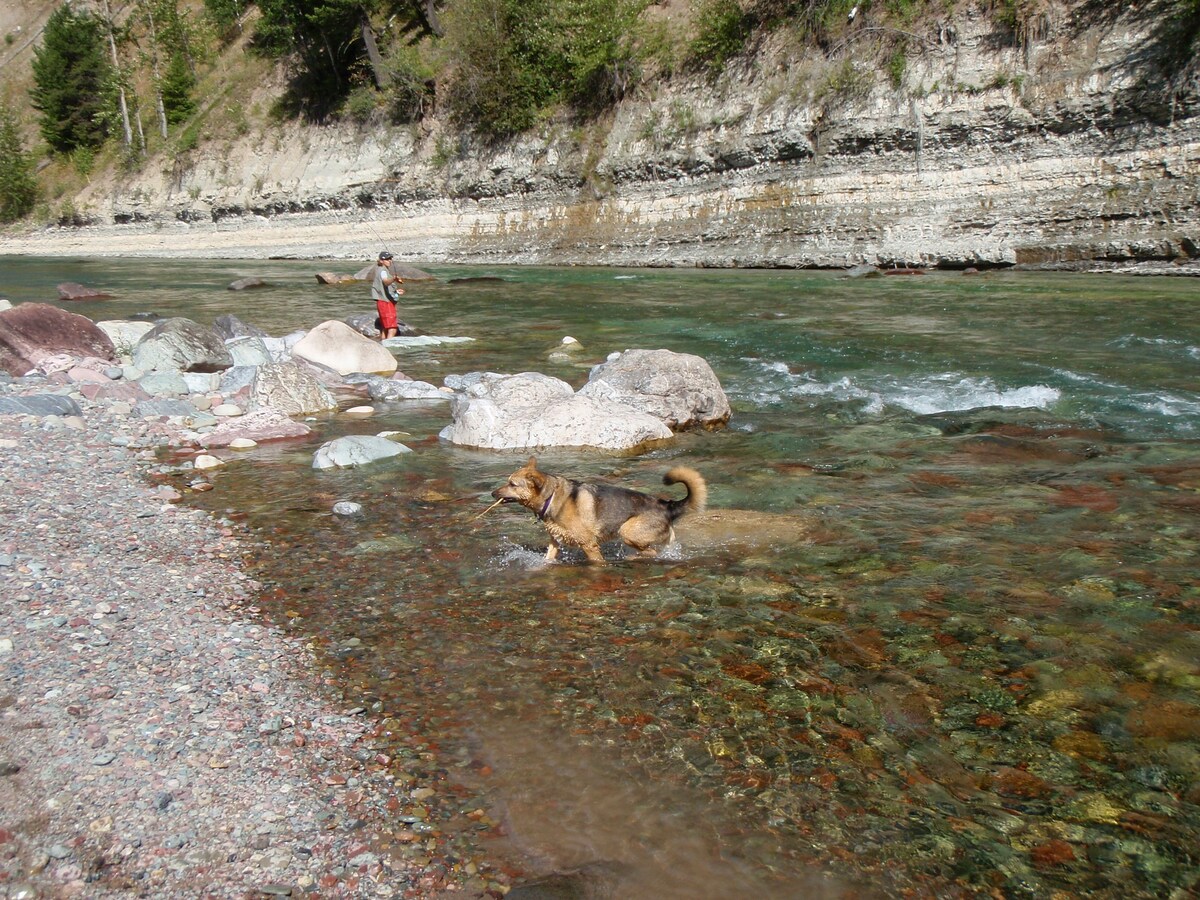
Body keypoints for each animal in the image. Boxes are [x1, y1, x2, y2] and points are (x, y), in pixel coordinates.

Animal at [492, 458, 705, 564]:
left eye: (512, 484)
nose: (493, 493)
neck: (550, 498)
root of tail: (668, 505)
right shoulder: (555, 542)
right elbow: (547, 559)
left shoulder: (589, 545)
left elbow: (597, 563)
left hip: (627, 531)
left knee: (651, 552)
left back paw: (630, 558)